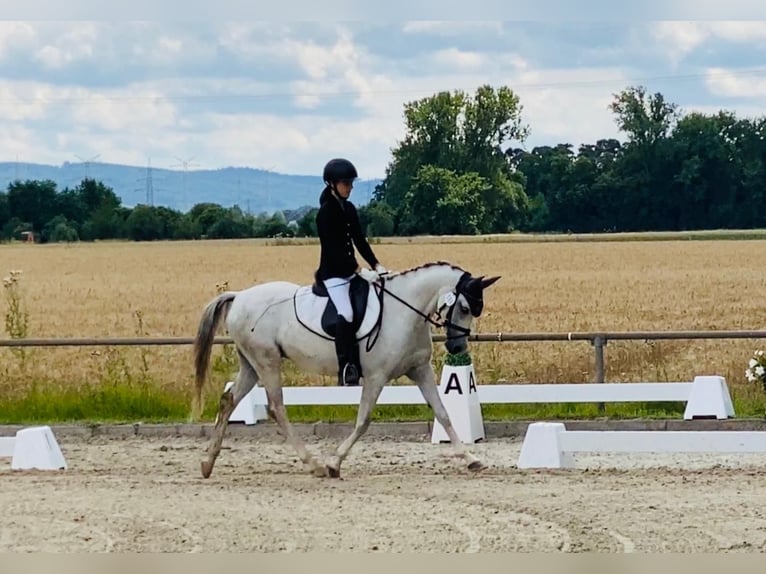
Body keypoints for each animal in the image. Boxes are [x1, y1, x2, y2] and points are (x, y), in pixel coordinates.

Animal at [194, 262, 498, 482]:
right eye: (464, 307)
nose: (457, 346)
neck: (404, 311)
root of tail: (239, 297)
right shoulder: (375, 377)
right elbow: (363, 421)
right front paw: (334, 463)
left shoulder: (419, 370)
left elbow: (443, 413)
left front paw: (472, 460)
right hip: (267, 361)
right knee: (276, 407)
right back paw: (314, 465)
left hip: (252, 364)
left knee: (229, 400)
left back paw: (208, 463)